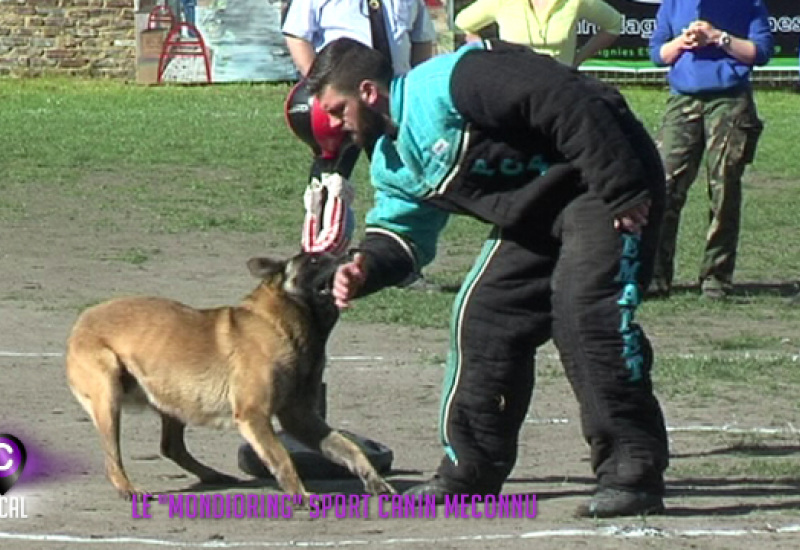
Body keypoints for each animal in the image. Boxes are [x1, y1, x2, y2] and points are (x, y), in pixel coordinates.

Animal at [64, 252, 396, 502]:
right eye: (315, 259)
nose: (354, 252)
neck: (283, 325)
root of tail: (82, 319)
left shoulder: (301, 417)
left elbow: (348, 447)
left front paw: (374, 480)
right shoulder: (254, 416)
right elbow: (283, 458)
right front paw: (301, 496)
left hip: (174, 398)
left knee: (171, 447)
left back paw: (212, 475)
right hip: (109, 398)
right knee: (113, 458)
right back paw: (128, 489)